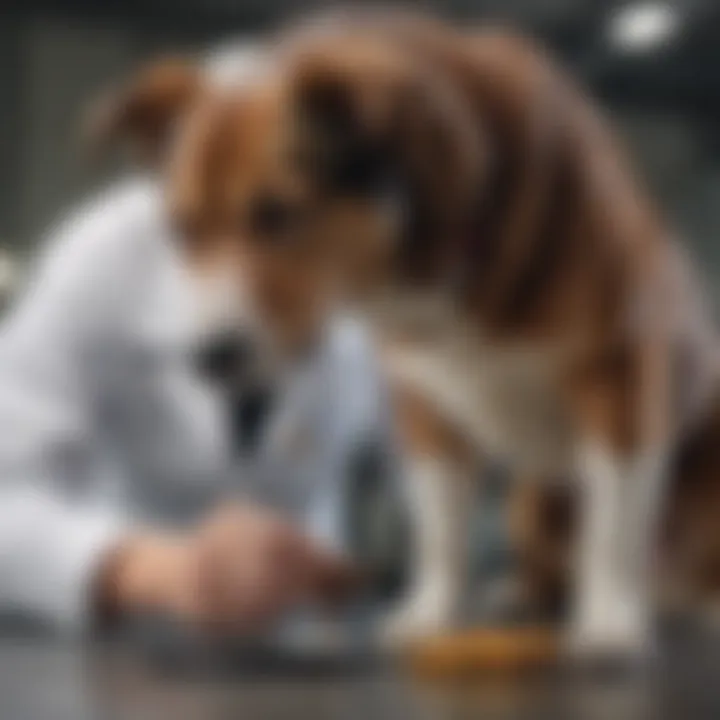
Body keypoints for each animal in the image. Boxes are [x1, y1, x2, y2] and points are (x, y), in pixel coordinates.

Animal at [98, 11, 720, 660]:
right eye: (181, 229)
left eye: (276, 214)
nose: (208, 358)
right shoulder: (423, 399)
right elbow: (440, 525)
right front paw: (433, 612)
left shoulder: (617, 374)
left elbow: (613, 526)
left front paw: (609, 620)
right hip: (530, 501)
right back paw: (520, 595)